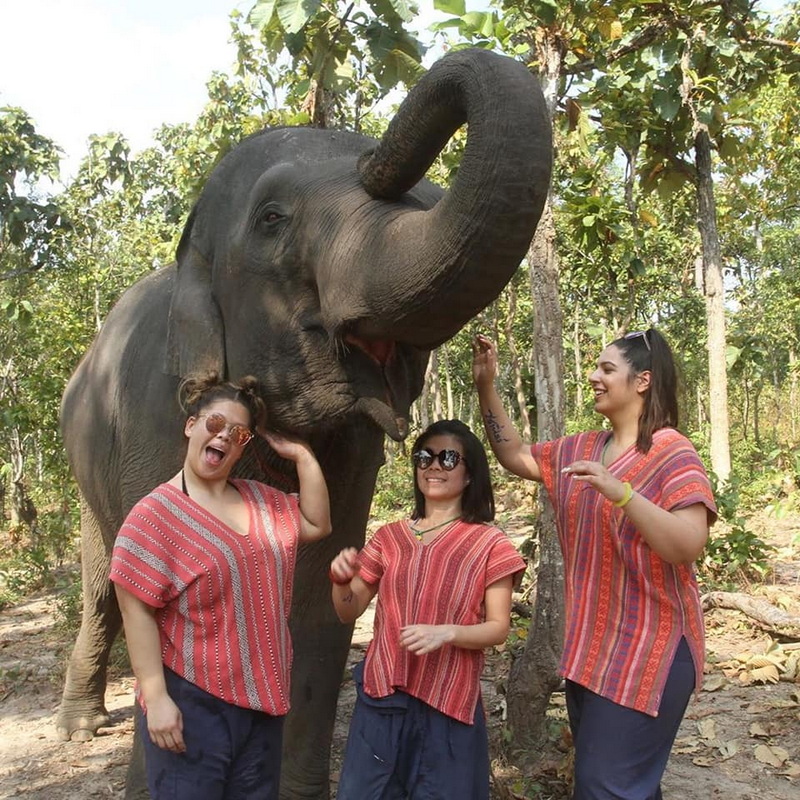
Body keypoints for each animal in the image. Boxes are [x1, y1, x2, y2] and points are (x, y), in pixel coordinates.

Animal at [56, 47, 552, 796]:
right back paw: (76, 729)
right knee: (99, 587)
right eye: (271, 218)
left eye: (428, 200)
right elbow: (154, 598)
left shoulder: (353, 447)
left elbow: (321, 599)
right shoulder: (153, 413)